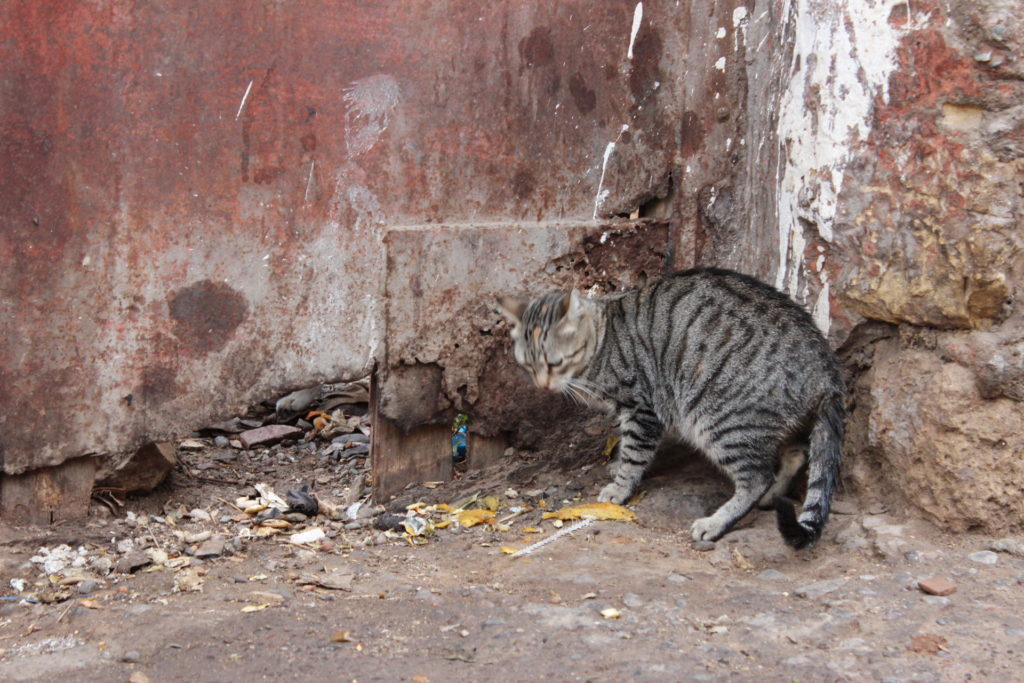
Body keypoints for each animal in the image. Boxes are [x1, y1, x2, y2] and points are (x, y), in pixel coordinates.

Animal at [499, 268, 843, 548]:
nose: (543, 385)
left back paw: (716, 522)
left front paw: (619, 487)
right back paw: (774, 496)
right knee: (795, 454)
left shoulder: (641, 408)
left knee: (758, 477)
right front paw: (616, 464)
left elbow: (634, 453)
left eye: (554, 363)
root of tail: (825, 367)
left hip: (720, 419)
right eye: (528, 365)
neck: (603, 342)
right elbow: (624, 445)